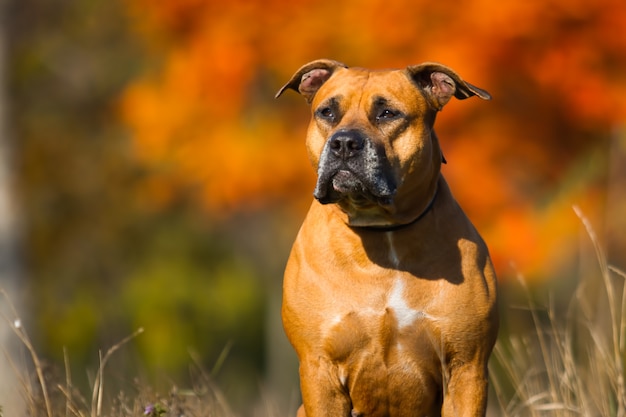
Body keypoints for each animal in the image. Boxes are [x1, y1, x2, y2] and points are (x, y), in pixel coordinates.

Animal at [276, 59, 500, 416]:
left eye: (387, 113)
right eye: (327, 112)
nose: (343, 143)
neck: (382, 232)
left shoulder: (467, 368)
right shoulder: (318, 369)